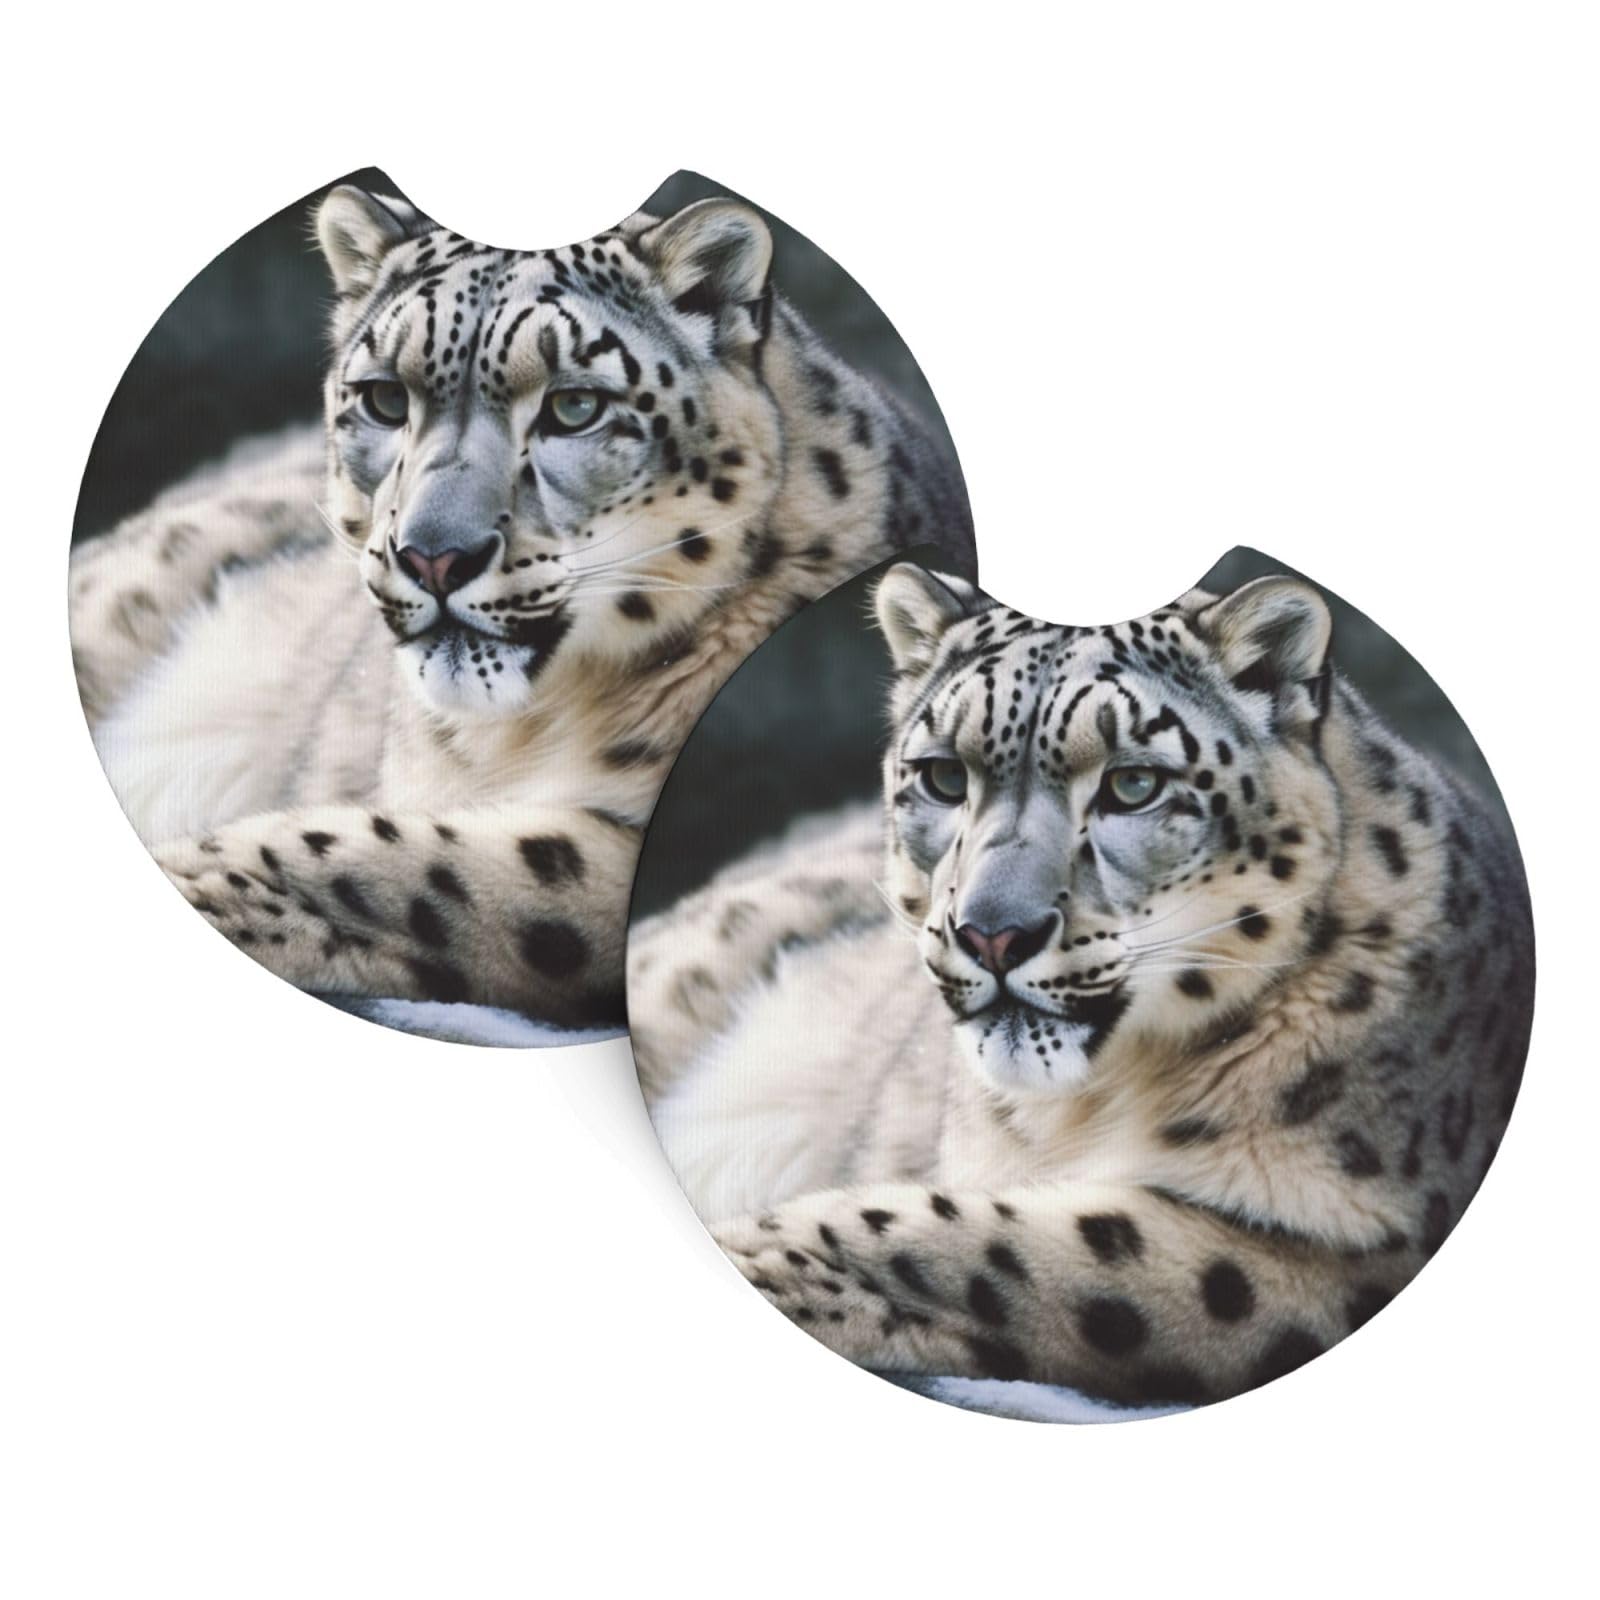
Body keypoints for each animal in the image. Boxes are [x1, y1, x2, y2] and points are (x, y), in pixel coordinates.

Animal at [628, 561, 1534, 1410]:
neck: (1088, 1106)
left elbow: (976, 1245)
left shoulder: (1335, 1254)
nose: (992, 933)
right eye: (943, 776)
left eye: (1135, 783)